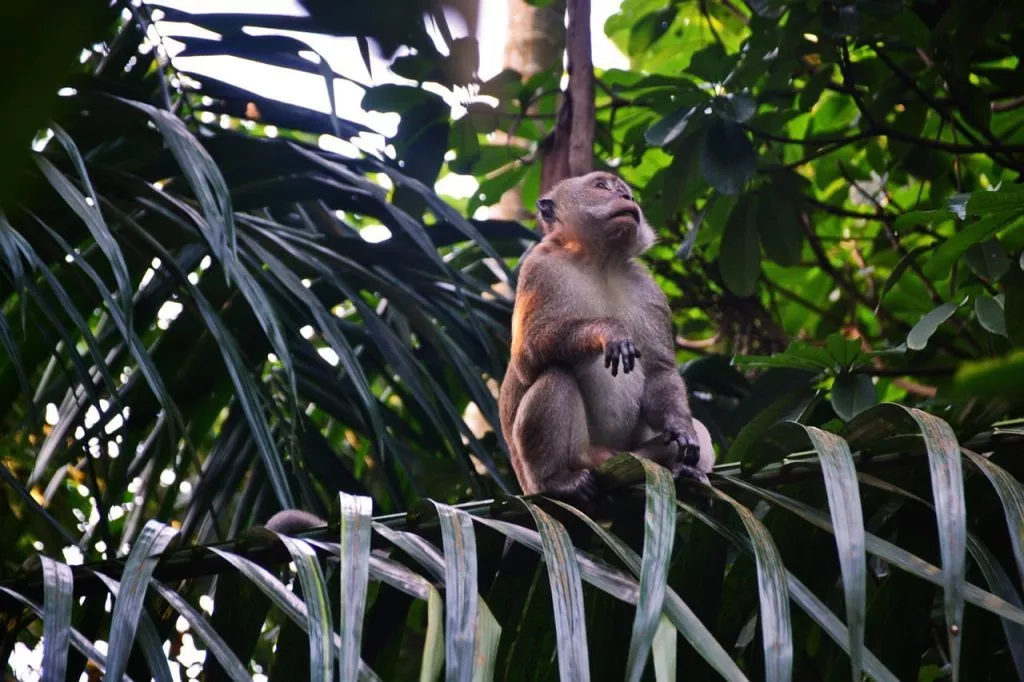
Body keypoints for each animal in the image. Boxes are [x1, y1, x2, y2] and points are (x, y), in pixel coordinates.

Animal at [498, 171, 715, 513]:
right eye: (601, 187)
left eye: (627, 193)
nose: (626, 199)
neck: (599, 261)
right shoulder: (539, 268)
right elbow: (527, 355)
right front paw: (608, 331)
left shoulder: (648, 290)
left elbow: (658, 370)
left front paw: (681, 427)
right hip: (558, 468)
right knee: (556, 374)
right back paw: (557, 481)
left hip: (633, 458)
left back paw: (685, 471)